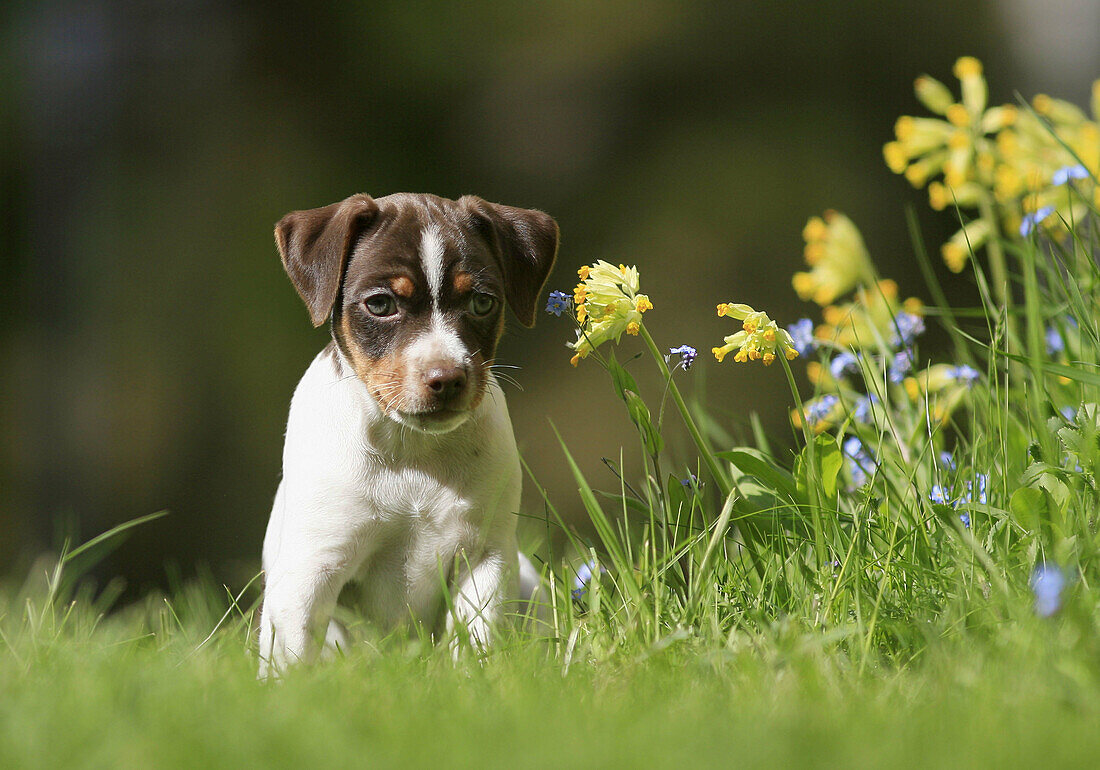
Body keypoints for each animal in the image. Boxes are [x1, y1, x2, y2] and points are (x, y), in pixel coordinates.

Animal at [258, 193, 558, 677]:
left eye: (482, 303)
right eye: (380, 304)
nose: (447, 378)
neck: (411, 451)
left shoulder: (484, 558)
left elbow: (475, 645)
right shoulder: (310, 574)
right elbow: (294, 662)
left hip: (527, 582)